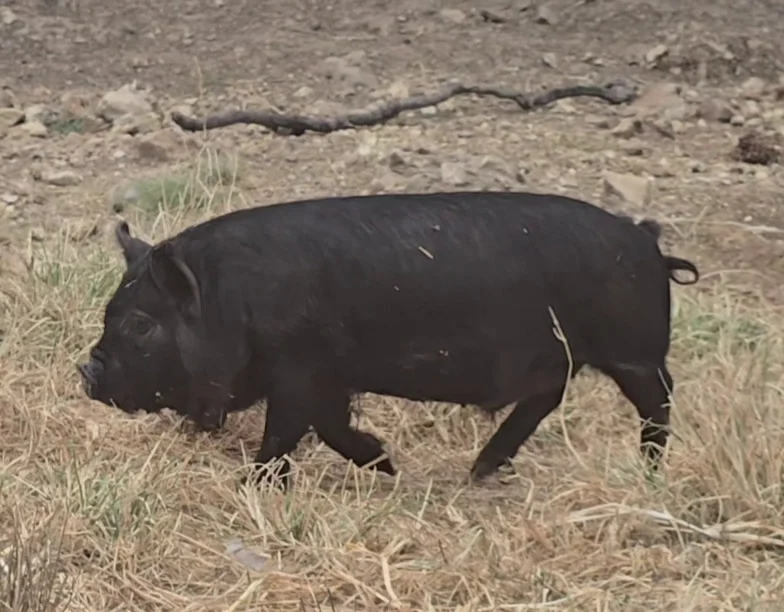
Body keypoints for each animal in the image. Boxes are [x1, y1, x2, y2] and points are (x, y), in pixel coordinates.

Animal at [77, 190, 699, 490]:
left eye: (142, 324)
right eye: (111, 311)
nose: (87, 370)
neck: (230, 302)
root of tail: (647, 241)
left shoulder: (300, 370)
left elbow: (286, 431)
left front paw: (256, 483)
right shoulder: (326, 378)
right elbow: (329, 427)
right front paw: (386, 464)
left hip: (634, 349)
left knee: (659, 399)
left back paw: (649, 469)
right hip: (560, 358)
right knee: (546, 398)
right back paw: (479, 471)